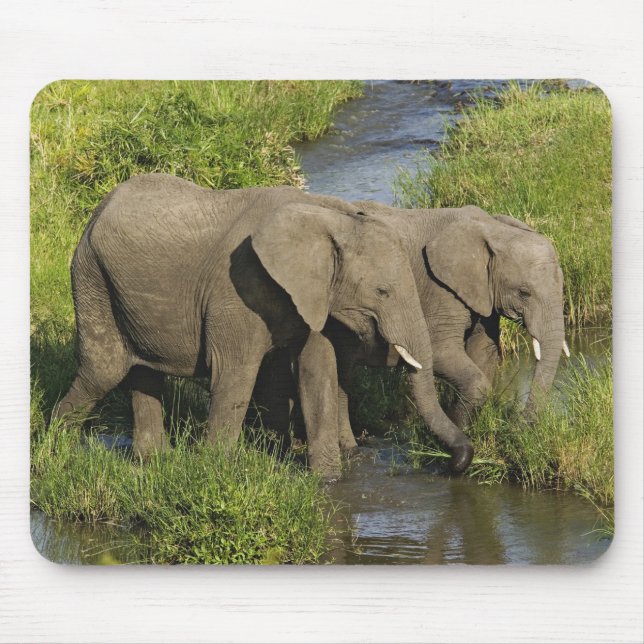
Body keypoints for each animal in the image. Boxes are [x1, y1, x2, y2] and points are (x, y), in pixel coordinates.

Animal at [52, 173, 471, 480]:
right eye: (382, 291)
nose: (455, 463)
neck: (330, 217)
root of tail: (100, 207)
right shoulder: (238, 287)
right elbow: (236, 372)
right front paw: (215, 472)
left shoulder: (311, 293)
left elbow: (317, 370)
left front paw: (328, 482)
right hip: (90, 274)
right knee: (104, 369)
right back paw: (55, 450)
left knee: (143, 372)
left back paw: (151, 462)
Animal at [253, 200, 568, 458]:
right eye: (524, 292)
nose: (519, 430)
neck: (491, 227)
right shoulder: (441, 289)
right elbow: (442, 353)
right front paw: (456, 438)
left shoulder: (481, 294)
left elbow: (485, 351)